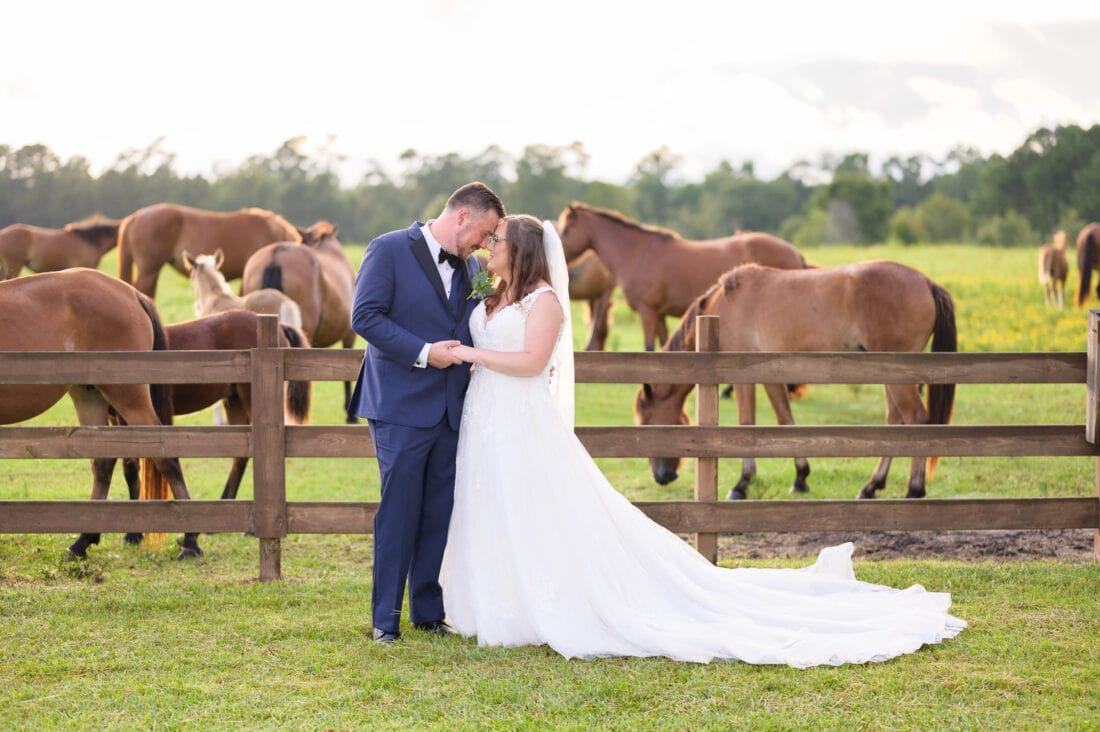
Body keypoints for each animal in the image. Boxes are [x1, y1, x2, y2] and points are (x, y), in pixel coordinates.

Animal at [0, 265, 200, 556]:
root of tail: (131, 293)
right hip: (89, 396)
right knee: (103, 462)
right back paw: (83, 540)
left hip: (128, 397)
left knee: (165, 457)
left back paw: (191, 541)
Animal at [558, 200, 809, 347]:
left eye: (567, 229)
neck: (638, 252)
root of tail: (795, 251)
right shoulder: (659, 314)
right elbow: (661, 344)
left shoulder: (647, 312)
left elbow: (649, 346)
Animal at [633, 259, 959, 499]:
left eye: (646, 421)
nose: (662, 476)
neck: (722, 303)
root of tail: (926, 282)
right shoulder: (770, 378)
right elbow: (785, 420)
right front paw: (800, 477)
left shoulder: (741, 379)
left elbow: (746, 424)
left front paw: (741, 484)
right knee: (896, 421)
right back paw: (871, 487)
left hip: (898, 379)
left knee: (915, 419)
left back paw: (914, 490)